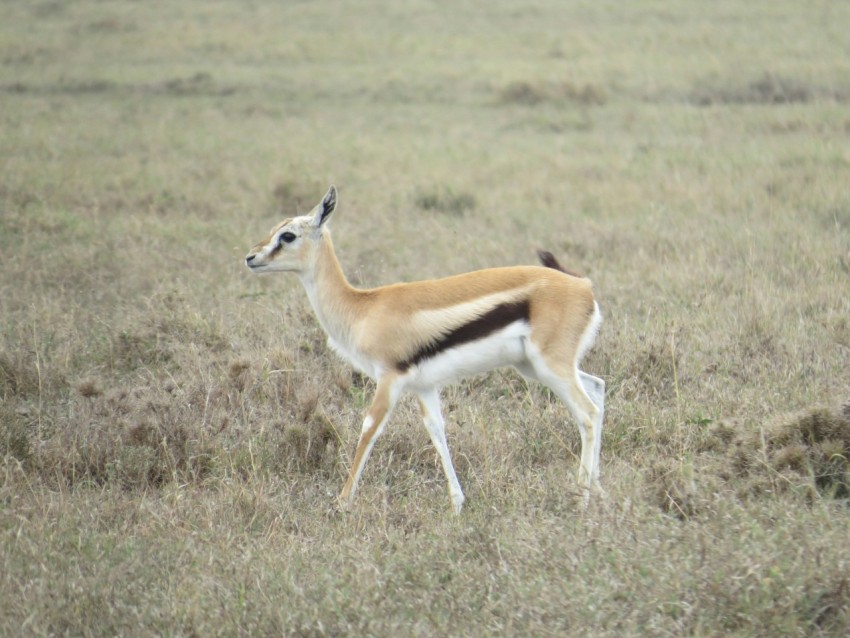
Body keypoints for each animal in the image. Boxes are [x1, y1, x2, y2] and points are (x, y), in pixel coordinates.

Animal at [245, 186, 605, 514]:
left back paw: (581, 499)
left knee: (586, 412)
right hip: (534, 367)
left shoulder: (389, 379)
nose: (251, 257)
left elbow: (369, 428)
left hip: (550, 366)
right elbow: (436, 431)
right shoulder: (424, 386)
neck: (363, 308)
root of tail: (583, 285)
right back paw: (597, 488)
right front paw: (457, 504)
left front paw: (342, 502)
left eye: (288, 235)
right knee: (598, 389)